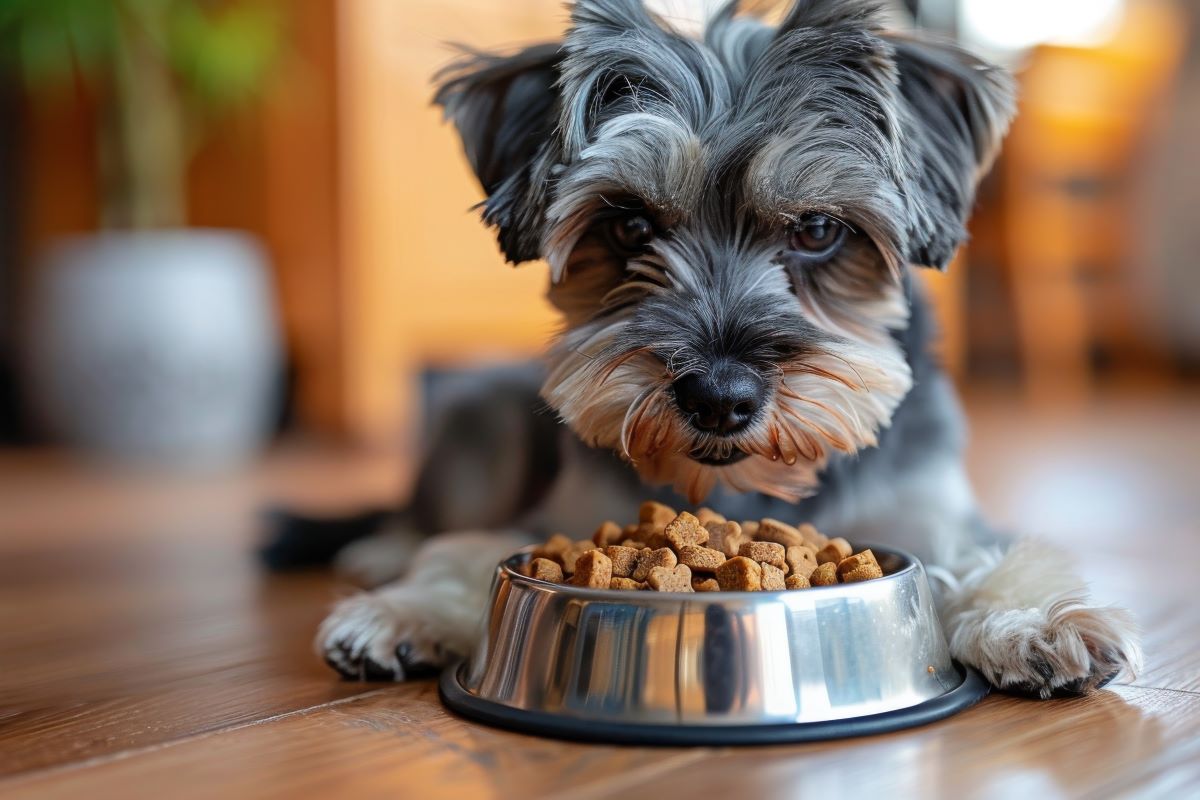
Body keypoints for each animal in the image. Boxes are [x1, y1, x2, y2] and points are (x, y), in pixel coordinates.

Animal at [312, 0, 1142, 695]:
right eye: (629, 225)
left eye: (818, 228)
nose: (718, 399)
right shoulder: (560, 519)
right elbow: (468, 552)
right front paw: (406, 611)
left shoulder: (934, 516)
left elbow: (980, 562)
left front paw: (1034, 622)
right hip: (482, 415)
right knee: (418, 514)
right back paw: (381, 552)